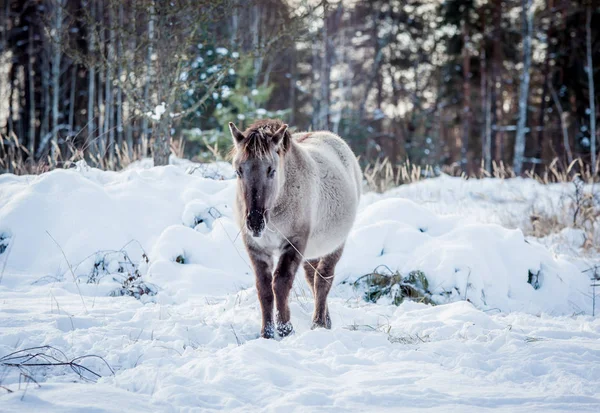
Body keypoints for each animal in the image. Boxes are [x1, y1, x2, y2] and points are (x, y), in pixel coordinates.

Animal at [230, 119, 360, 338]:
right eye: (239, 171)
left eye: (271, 170)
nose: (255, 221)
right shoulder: (256, 248)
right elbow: (264, 288)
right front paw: (267, 333)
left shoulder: (293, 243)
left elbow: (281, 284)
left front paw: (285, 329)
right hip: (312, 250)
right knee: (311, 278)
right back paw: (325, 320)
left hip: (335, 246)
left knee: (322, 280)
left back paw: (318, 322)